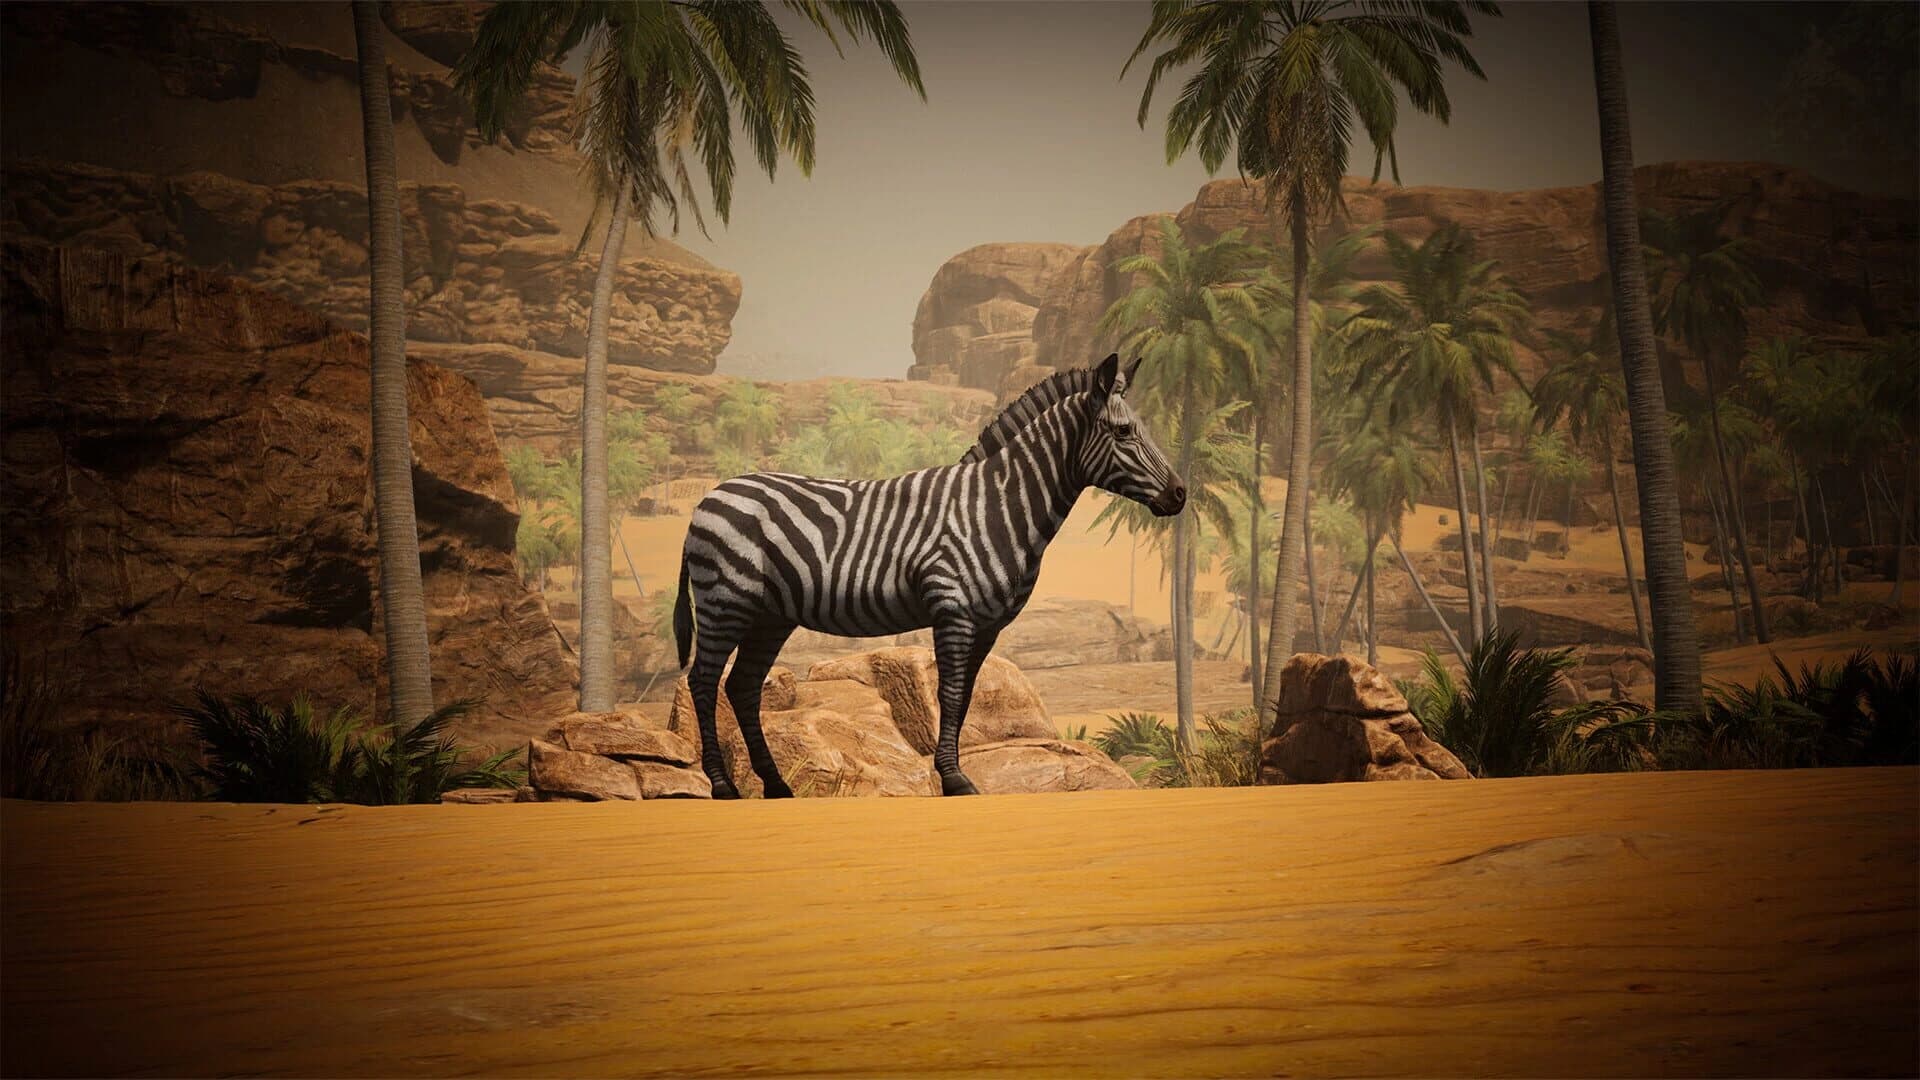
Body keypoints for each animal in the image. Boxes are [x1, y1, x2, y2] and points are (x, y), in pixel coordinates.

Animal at [672, 353, 1185, 797]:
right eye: (1124, 432)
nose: (1180, 495)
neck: (996, 507)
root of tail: (708, 498)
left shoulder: (987, 625)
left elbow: (966, 697)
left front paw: (954, 773)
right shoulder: (953, 610)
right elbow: (951, 694)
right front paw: (954, 779)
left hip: (770, 616)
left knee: (741, 686)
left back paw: (777, 786)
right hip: (725, 602)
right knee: (703, 682)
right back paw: (722, 786)